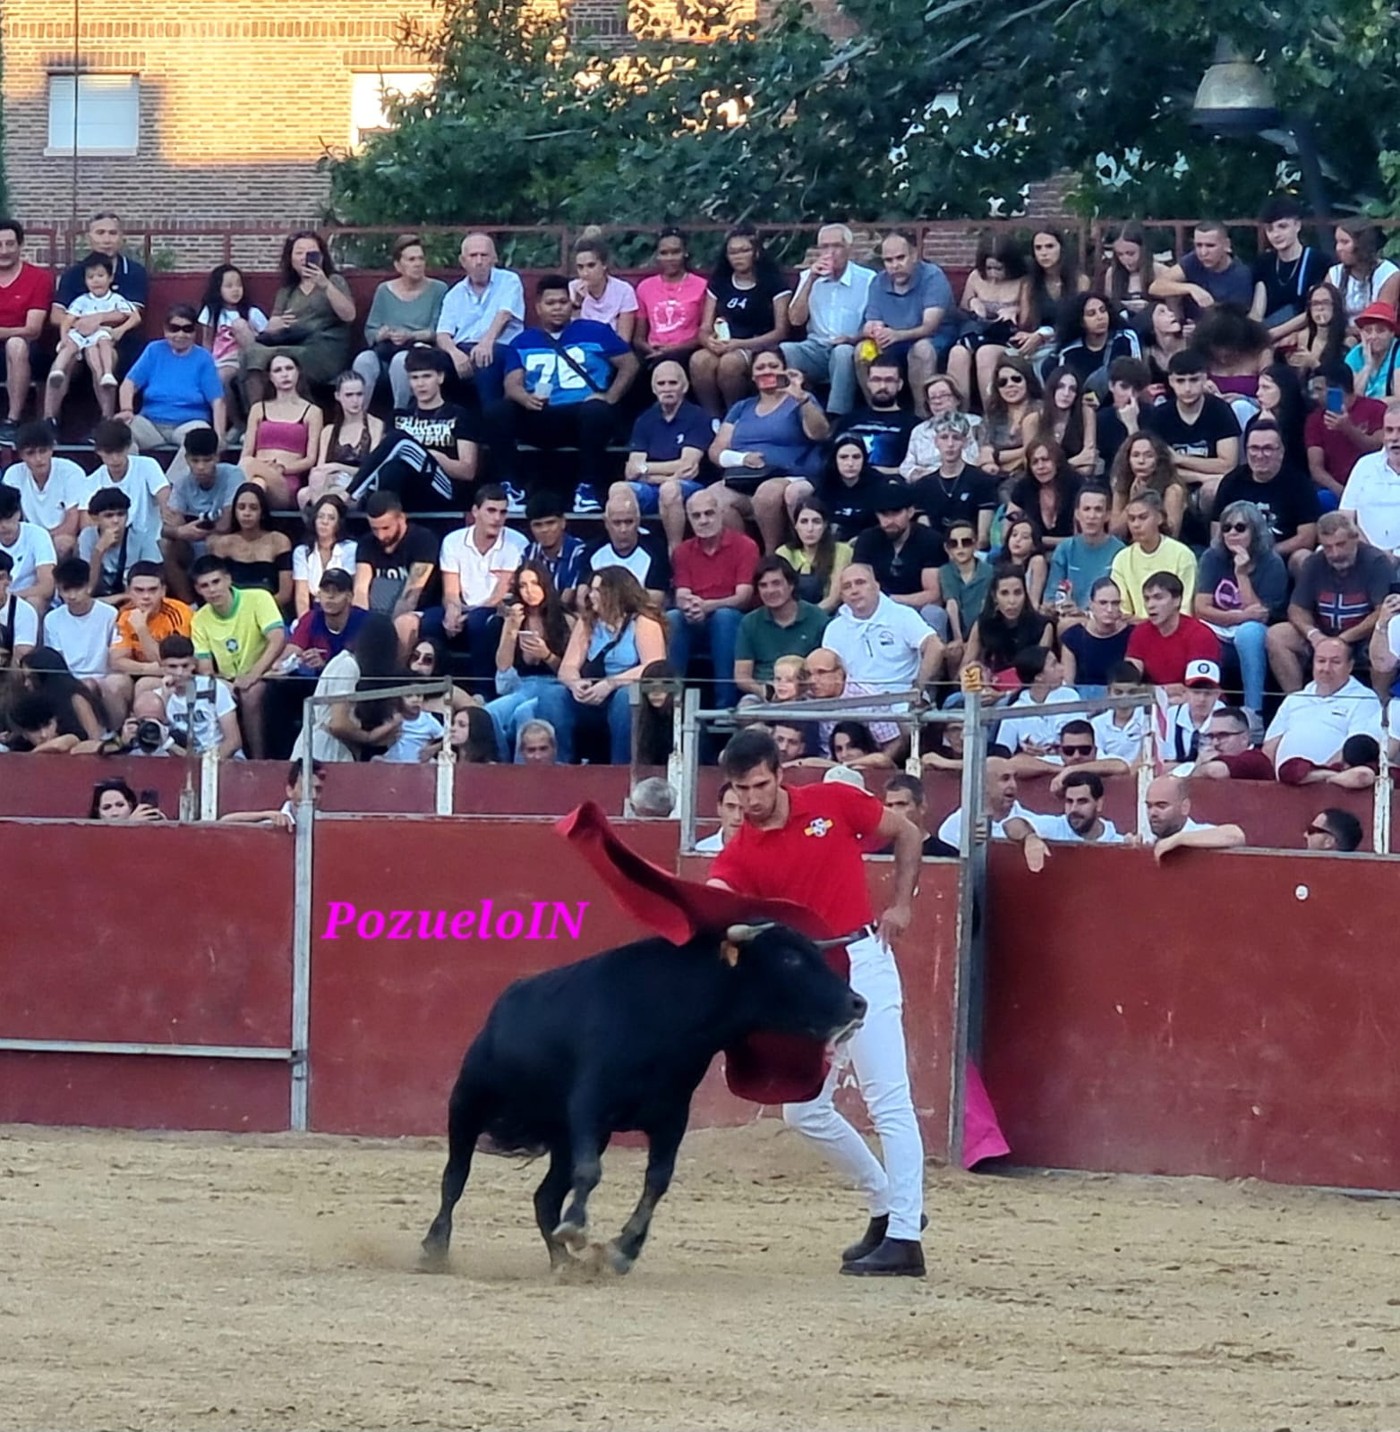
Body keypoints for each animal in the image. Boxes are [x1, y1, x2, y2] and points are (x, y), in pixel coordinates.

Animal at [417, 916, 864, 1277]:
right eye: (790, 959)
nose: (857, 1003)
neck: (670, 1020)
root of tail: (501, 1008)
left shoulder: (670, 1118)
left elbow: (657, 1181)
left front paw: (622, 1250)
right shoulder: (589, 1106)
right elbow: (590, 1172)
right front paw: (578, 1227)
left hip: (561, 1136)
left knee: (544, 1197)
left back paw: (564, 1262)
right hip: (466, 1104)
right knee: (455, 1177)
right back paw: (434, 1249)